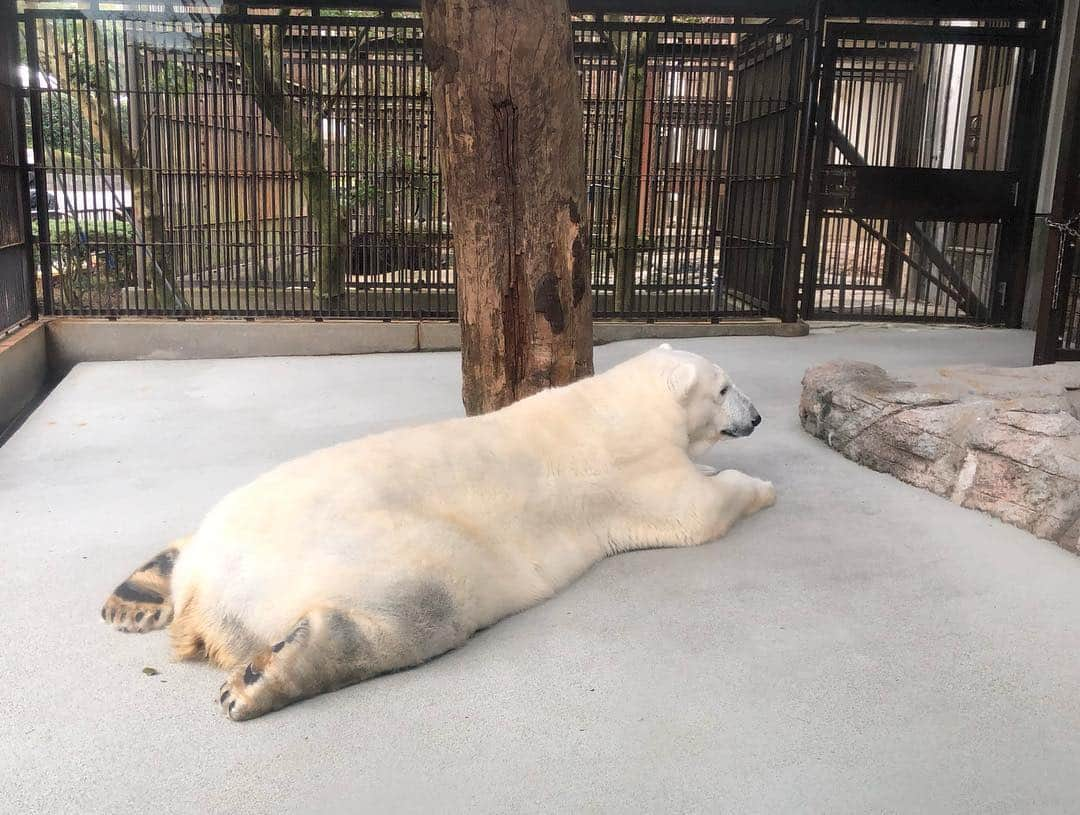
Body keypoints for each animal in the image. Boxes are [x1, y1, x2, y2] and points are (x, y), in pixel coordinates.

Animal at [101, 343, 773, 721]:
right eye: (724, 387)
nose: (759, 416)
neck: (623, 402)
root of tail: (206, 591)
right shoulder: (632, 471)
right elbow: (697, 508)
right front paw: (759, 487)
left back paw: (132, 598)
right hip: (375, 548)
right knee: (422, 607)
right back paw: (257, 681)